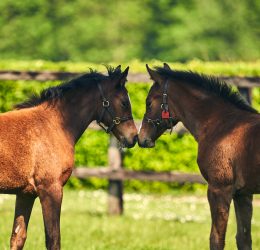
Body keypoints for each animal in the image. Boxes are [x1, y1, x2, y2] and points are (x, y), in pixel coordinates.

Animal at [0, 65, 138, 249]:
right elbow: (53, 239)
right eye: (124, 102)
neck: (54, 125)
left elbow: (18, 237)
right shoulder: (51, 189)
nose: (133, 137)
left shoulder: (25, 194)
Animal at [139, 63, 260, 250]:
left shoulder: (219, 189)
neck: (221, 125)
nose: (142, 138)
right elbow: (244, 238)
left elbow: (216, 239)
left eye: (149, 102)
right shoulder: (243, 194)